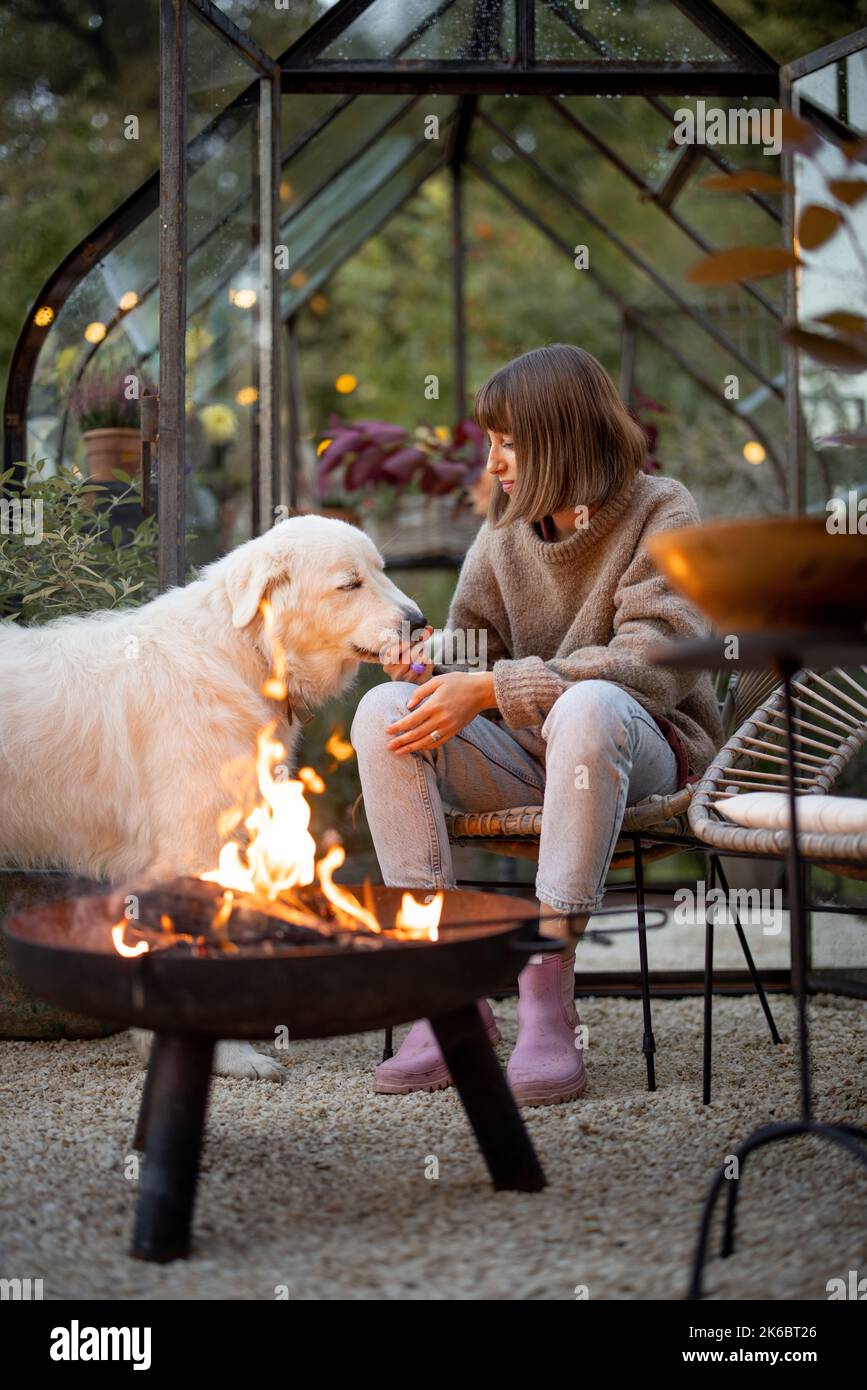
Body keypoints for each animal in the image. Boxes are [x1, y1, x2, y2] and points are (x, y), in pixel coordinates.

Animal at [0, 517, 425, 1078]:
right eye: (349, 584)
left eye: (380, 571)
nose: (420, 622)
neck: (243, 653)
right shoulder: (196, 851)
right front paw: (230, 1054)